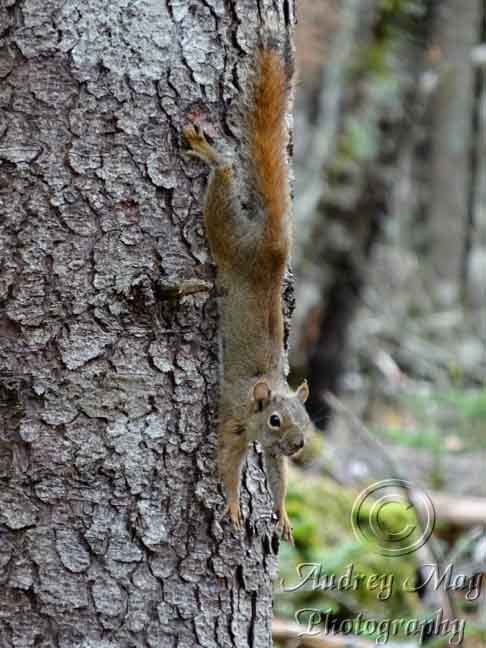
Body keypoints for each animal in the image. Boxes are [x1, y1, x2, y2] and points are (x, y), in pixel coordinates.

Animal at [183, 33, 311, 543]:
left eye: (307, 420)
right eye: (274, 419)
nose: (298, 445)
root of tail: (274, 250)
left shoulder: (272, 453)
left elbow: (277, 478)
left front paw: (282, 513)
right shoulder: (235, 418)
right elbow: (226, 463)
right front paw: (235, 506)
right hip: (226, 231)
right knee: (223, 178)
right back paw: (208, 151)